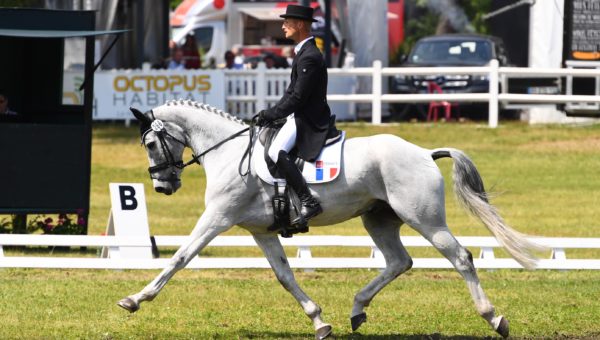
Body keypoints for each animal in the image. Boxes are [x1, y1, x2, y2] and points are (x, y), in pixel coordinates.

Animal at [116, 99, 540, 338]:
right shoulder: (261, 231)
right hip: (379, 219)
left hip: (426, 220)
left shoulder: (217, 217)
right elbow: (285, 277)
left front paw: (135, 299)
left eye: (150, 143)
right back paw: (357, 310)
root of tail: (423, 152)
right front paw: (319, 321)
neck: (229, 152)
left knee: (461, 258)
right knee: (399, 261)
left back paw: (494, 318)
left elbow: (179, 257)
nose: (163, 186)